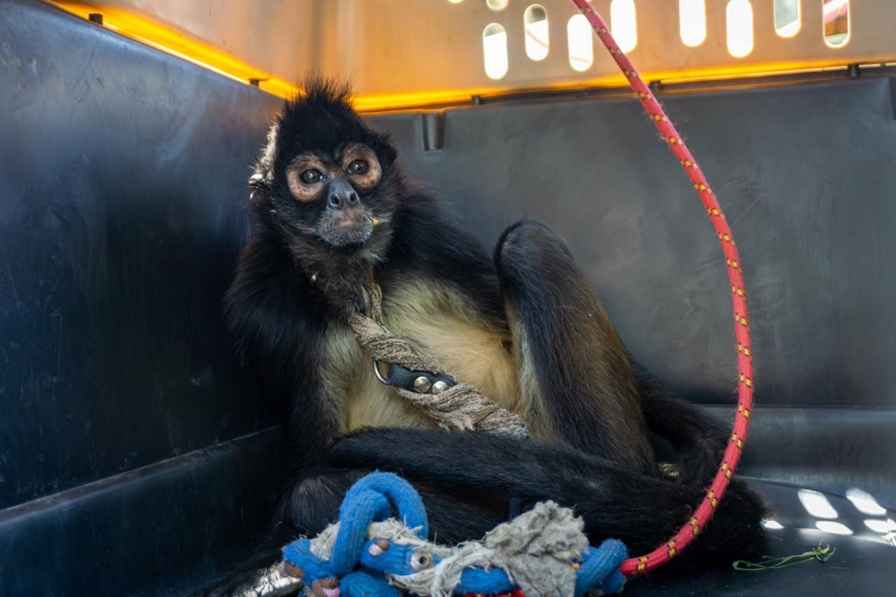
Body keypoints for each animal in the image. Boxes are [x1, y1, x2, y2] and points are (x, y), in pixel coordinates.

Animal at [224, 80, 765, 576]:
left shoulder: (427, 230)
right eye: (311, 177)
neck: (358, 277)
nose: (344, 196)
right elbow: (313, 467)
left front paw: (705, 441)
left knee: (527, 246)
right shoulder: (266, 307)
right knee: (313, 491)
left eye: (359, 167)